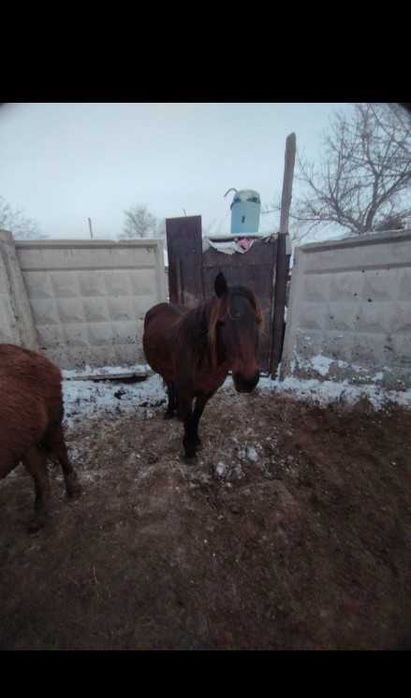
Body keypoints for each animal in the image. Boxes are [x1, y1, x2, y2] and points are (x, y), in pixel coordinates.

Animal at [0, 344, 81, 530]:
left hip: (52, 422)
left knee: (60, 453)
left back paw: (73, 491)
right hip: (27, 439)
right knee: (40, 473)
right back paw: (38, 519)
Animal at [143, 272, 263, 459]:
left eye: (257, 321)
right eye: (222, 322)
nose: (247, 380)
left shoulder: (207, 392)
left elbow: (196, 416)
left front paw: (195, 441)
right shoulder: (186, 392)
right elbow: (188, 418)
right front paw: (189, 450)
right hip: (166, 371)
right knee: (170, 386)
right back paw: (170, 412)